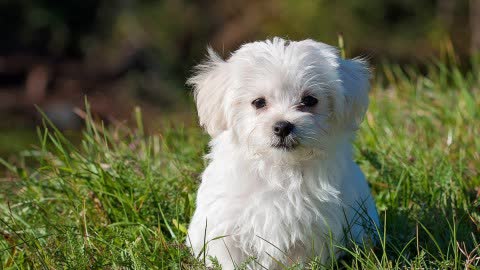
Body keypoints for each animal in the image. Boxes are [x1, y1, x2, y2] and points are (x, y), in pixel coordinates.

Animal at [187, 37, 378, 268]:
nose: (283, 126)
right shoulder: (225, 227)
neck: (279, 168)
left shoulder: (312, 232)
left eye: (309, 100)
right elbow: (230, 260)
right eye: (258, 102)